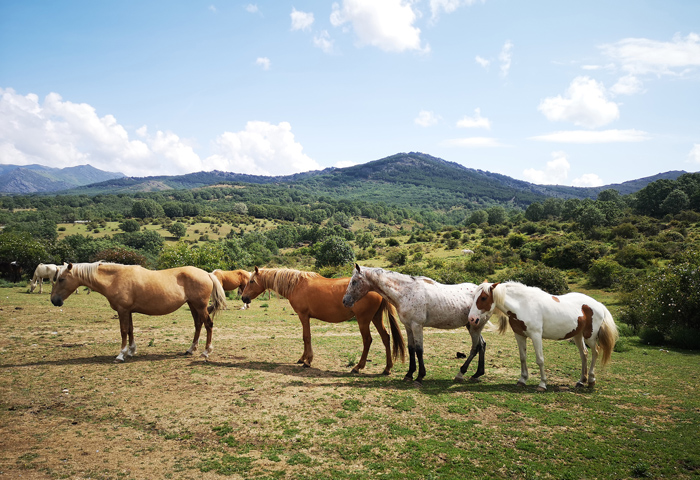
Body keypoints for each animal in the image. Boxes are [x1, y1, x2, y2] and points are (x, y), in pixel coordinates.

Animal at [52, 264, 227, 362]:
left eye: (61, 279)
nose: (54, 300)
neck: (115, 278)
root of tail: (207, 274)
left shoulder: (122, 310)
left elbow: (123, 331)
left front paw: (121, 355)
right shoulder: (127, 311)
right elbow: (130, 330)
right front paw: (131, 351)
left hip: (200, 306)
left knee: (208, 325)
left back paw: (206, 352)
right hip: (193, 305)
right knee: (198, 325)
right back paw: (190, 349)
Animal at [241, 266, 404, 376]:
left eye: (252, 281)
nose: (243, 298)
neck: (296, 284)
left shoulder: (303, 316)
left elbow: (306, 337)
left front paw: (307, 361)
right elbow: (305, 337)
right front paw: (303, 358)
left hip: (363, 320)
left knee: (367, 340)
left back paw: (358, 367)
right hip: (376, 318)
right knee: (386, 338)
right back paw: (387, 368)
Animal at [468, 282, 620, 390]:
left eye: (483, 297)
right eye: (474, 297)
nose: (471, 319)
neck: (523, 304)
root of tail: (598, 304)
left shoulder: (536, 336)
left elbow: (540, 360)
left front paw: (542, 384)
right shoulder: (519, 335)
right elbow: (522, 357)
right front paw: (522, 380)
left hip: (591, 337)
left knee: (596, 352)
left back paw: (591, 380)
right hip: (577, 336)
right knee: (584, 354)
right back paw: (581, 381)